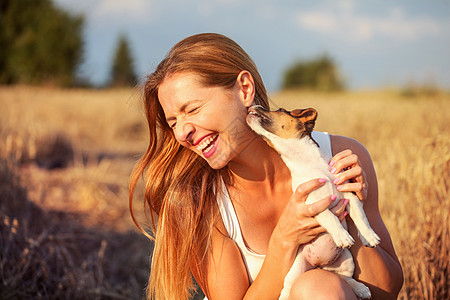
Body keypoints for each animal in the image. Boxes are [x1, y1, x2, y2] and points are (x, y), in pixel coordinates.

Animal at [246, 105, 380, 298]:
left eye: (280, 110)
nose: (253, 106)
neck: (307, 162)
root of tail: (320, 265)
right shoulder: (311, 204)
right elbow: (329, 217)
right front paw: (341, 235)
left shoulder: (349, 194)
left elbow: (361, 217)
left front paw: (369, 236)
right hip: (296, 268)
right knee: (288, 286)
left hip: (347, 260)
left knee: (346, 278)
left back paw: (361, 288)